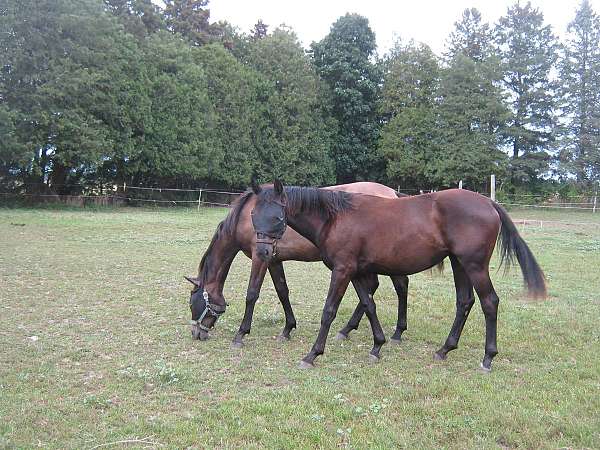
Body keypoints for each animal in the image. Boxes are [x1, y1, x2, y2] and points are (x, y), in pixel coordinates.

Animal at [186, 183, 412, 348]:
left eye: (192, 303)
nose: (196, 333)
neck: (245, 215)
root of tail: (393, 193)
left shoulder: (261, 258)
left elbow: (252, 294)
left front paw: (241, 334)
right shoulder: (274, 260)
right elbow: (282, 291)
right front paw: (288, 329)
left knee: (399, 285)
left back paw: (395, 332)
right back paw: (350, 329)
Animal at [251, 180, 548, 372]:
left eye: (278, 217)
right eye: (254, 214)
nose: (263, 252)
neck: (336, 218)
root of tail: (488, 201)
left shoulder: (342, 270)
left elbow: (329, 311)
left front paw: (312, 354)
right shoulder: (356, 271)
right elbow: (369, 304)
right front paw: (377, 346)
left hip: (473, 265)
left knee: (489, 302)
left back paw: (488, 358)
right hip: (459, 264)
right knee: (464, 302)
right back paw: (444, 349)